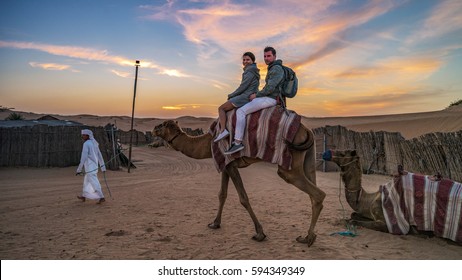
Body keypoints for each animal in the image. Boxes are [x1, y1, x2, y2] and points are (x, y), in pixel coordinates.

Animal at [153, 119, 326, 246]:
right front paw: (215, 223)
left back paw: (309, 238)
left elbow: (243, 198)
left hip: (290, 163)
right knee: (313, 189)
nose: (154, 128)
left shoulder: (230, 164)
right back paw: (307, 237)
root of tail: (307, 131)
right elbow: (222, 194)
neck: (208, 141)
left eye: (162, 125)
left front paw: (259, 233)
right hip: (308, 157)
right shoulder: (225, 164)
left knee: (317, 193)